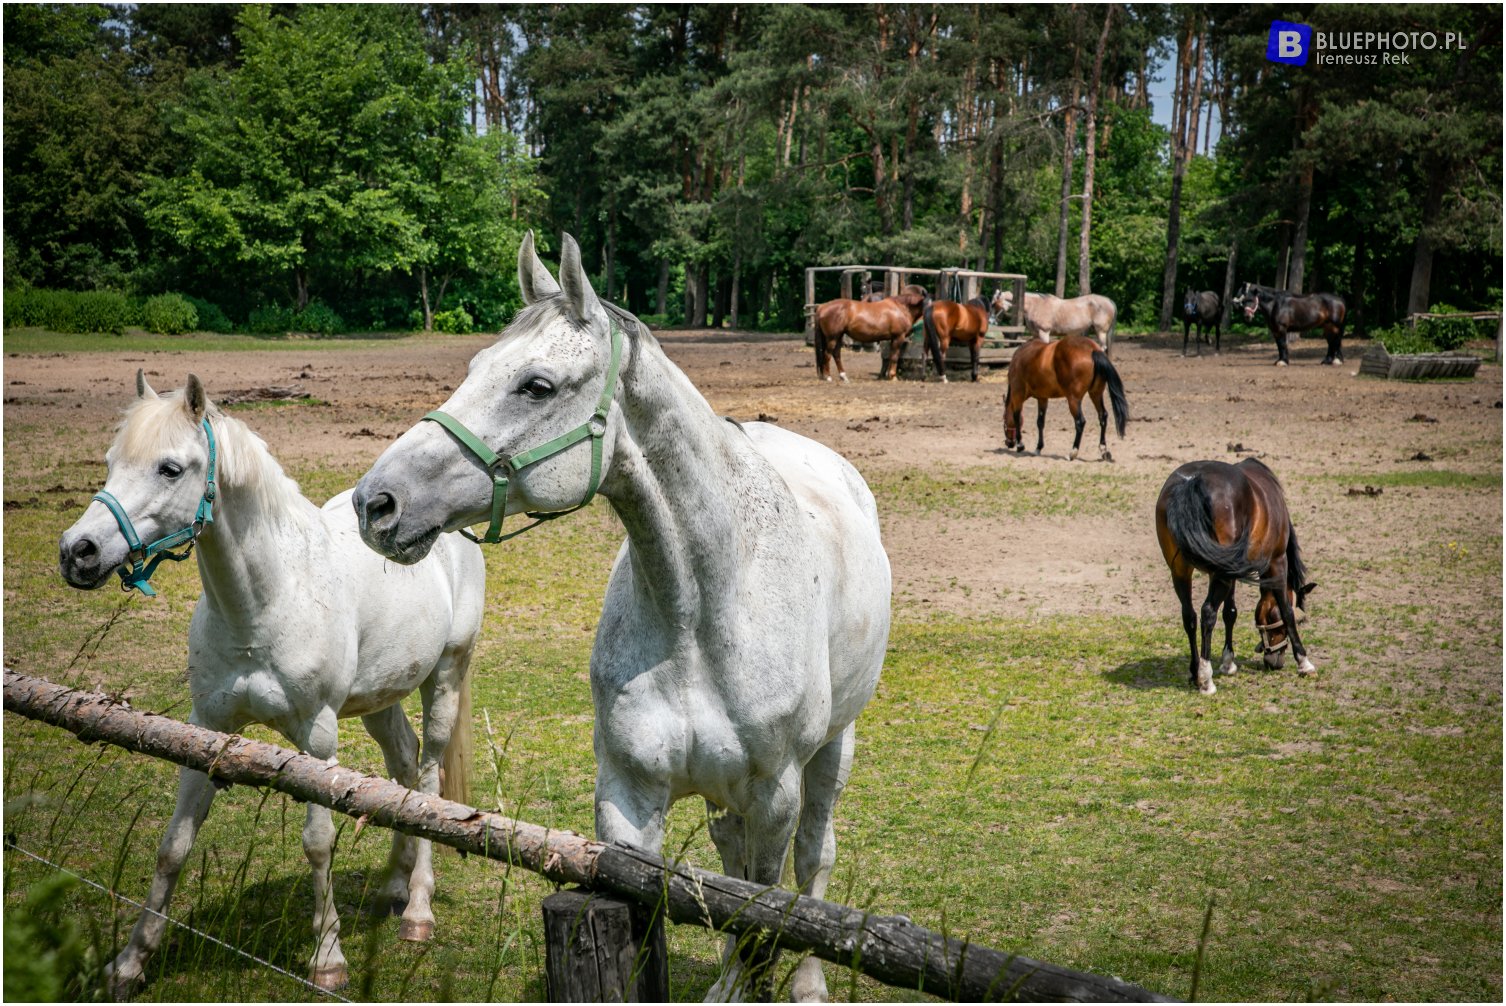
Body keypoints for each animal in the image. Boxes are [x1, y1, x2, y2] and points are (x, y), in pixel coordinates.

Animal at [55, 373, 481, 993]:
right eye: (111, 462)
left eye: (170, 468)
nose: (77, 552)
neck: (266, 601)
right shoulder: (205, 730)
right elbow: (173, 847)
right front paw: (130, 962)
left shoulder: (318, 741)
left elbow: (318, 844)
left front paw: (328, 959)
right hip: (381, 698)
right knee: (403, 769)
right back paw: (394, 887)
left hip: (445, 677)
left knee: (427, 782)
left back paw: (418, 910)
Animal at [355, 233, 891, 999]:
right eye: (476, 366)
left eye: (537, 386)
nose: (376, 502)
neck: (700, 616)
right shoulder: (628, 803)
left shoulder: (774, 798)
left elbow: (763, 915)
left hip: (830, 754)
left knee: (815, 862)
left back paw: (812, 983)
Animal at [999, 334, 1132, 460]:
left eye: (1004, 419)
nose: (1009, 443)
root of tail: (1093, 350)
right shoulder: (1042, 398)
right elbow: (1040, 422)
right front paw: (1038, 447)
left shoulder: (1018, 395)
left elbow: (1016, 417)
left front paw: (1020, 445)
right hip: (1095, 394)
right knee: (1102, 416)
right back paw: (1103, 450)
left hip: (1073, 400)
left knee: (1080, 422)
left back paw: (1072, 452)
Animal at [1150, 460, 1319, 695]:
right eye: (1302, 619)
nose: (1273, 662)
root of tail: (1191, 482)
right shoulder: (1277, 562)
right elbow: (1286, 610)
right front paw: (1304, 662)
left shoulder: (1230, 570)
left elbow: (1230, 612)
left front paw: (1228, 662)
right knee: (1207, 613)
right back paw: (1206, 679)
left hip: (1182, 571)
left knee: (1189, 616)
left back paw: (1195, 672)